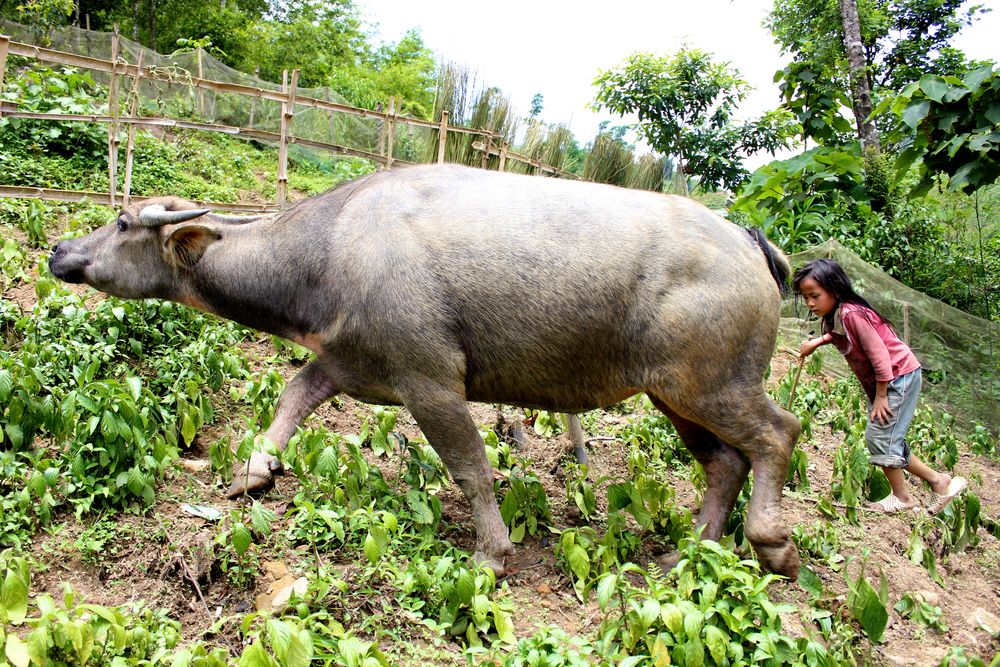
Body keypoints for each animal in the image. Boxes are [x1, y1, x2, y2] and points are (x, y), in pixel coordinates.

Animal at [50, 163, 800, 580]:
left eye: (122, 222)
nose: (59, 250)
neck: (332, 247)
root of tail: (747, 241)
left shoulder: (431, 381)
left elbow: (471, 467)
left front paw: (491, 552)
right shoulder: (346, 362)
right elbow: (293, 395)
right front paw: (252, 472)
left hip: (709, 384)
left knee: (778, 433)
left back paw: (771, 544)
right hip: (673, 394)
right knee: (725, 463)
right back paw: (690, 555)